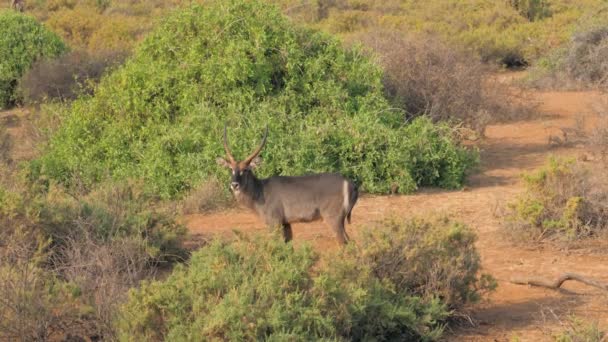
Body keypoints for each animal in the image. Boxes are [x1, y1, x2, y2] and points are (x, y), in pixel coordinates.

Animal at [217, 125, 356, 246]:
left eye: (245, 169)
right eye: (231, 169)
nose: (234, 184)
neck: (260, 191)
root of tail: (348, 182)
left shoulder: (274, 222)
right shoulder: (286, 223)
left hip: (333, 217)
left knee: (344, 242)